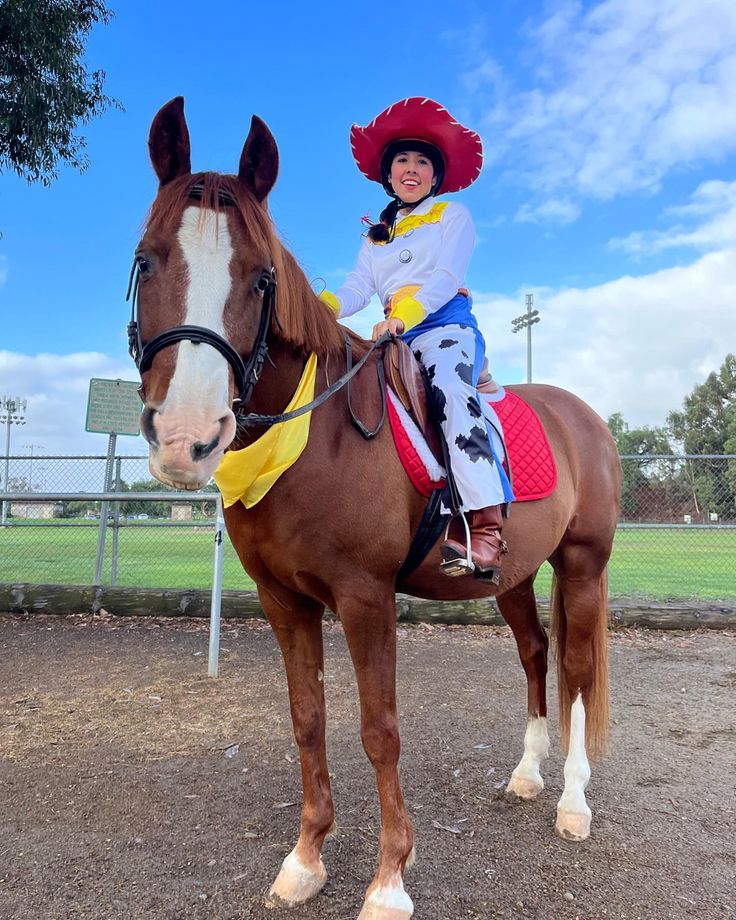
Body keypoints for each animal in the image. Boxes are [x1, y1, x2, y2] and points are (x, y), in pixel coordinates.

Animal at [131, 97, 620, 916]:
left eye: (260, 280)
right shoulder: (284, 600)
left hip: (582, 565)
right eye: (146, 260)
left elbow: (379, 728)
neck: (316, 435)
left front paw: (390, 877)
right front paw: (305, 859)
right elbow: (307, 721)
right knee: (536, 653)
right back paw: (527, 775)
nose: (186, 438)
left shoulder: (366, 598)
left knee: (579, 671)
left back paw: (573, 804)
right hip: (514, 577)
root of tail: (583, 416)